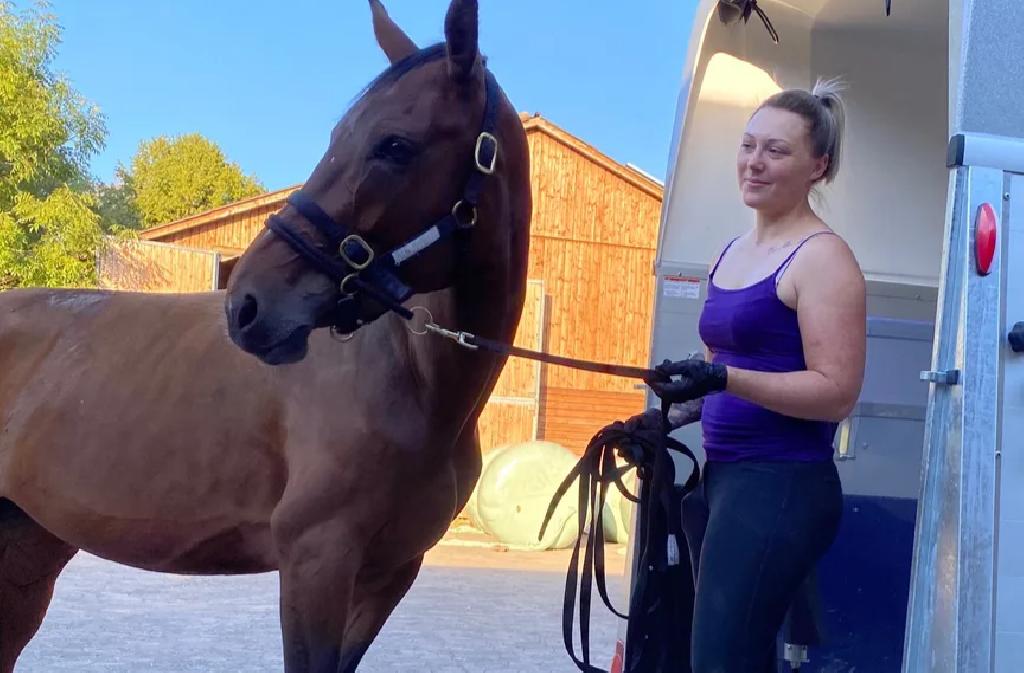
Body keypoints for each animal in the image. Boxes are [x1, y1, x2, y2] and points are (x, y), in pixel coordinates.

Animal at [0, 0, 531, 670]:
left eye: (394, 145)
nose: (246, 305)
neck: (415, 382)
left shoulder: (389, 575)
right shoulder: (315, 560)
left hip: (28, 546)